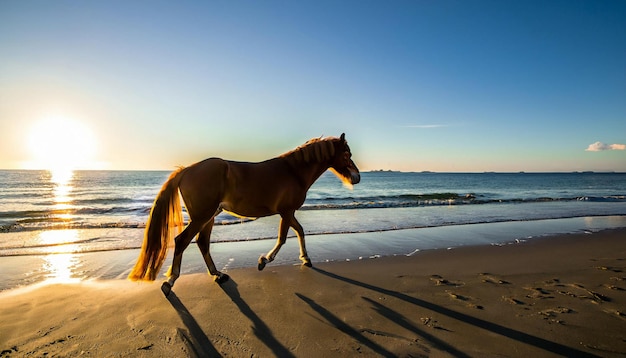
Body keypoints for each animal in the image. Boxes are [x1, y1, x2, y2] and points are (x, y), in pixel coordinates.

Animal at [127, 133, 358, 296]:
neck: (293, 172)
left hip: (208, 217)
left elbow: (299, 231)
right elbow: (285, 237)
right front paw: (265, 260)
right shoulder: (287, 211)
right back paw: (171, 281)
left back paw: (217, 275)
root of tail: (186, 170)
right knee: (183, 241)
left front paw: (305, 258)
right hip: (202, 217)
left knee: (202, 243)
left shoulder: (288, 213)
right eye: (346, 154)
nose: (357, 177)